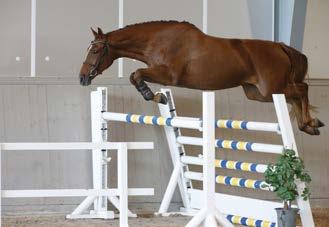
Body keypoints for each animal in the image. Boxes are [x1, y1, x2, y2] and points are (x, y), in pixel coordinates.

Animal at [79, 20, 322, 135]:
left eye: (95, 50)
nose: (82, 78)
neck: (157, 40)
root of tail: (280, 46)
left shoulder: (168, 75)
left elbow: (135, 74)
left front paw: (156, 96)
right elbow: (134, 76)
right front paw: (159, 97)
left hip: (270, 88)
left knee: (302, 89)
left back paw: (309, 123)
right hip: (258, 93)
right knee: (295, 95)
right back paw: (310, 125)